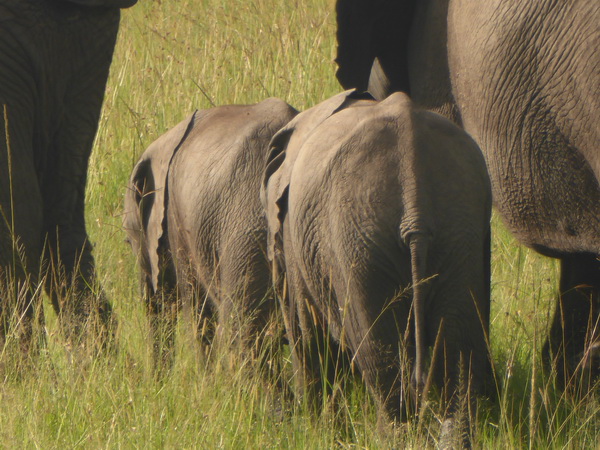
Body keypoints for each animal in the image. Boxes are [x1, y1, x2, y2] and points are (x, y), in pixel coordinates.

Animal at [123, 98, 298, 366]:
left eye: (130, 240)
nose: (157, 377)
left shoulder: (177, 223)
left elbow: (199, 314)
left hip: (246, 236)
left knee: (244, 336)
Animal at [262, 89, 492, 442]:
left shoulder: (293, 234)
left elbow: (308, 336)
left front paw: (319, 432)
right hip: (460, 226)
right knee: (458, 354)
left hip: (356, 239)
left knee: (380, 356)